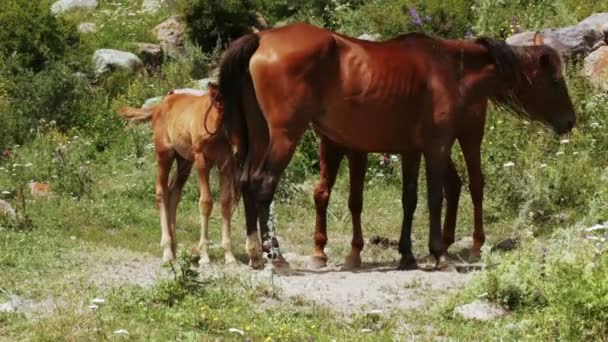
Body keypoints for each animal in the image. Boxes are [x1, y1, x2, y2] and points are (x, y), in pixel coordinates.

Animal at [117, 87, 236, 266]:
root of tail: (157, 107)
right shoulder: (202, 161)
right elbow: (206, 202)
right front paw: (204, 255)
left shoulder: (227, 162)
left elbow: (226, 202)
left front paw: (229, 255)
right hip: (164, 153)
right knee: (161, 192)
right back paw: (167, 251)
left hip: (184, 160)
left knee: (173, 193)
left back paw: (174, 250)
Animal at [217, 24, 576, 270]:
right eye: (556, 80)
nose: (570, 121)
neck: (451, 68)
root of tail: (262, 39)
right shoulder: (437, 147)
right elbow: (434, 197)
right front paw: (438, 253)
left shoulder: (411, 150)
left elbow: (410, 199)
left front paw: (407, 254)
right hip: (284, 137)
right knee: (263, 184)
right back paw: (275, 256)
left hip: (260, 137)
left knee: (247, 183)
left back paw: (255, 253)